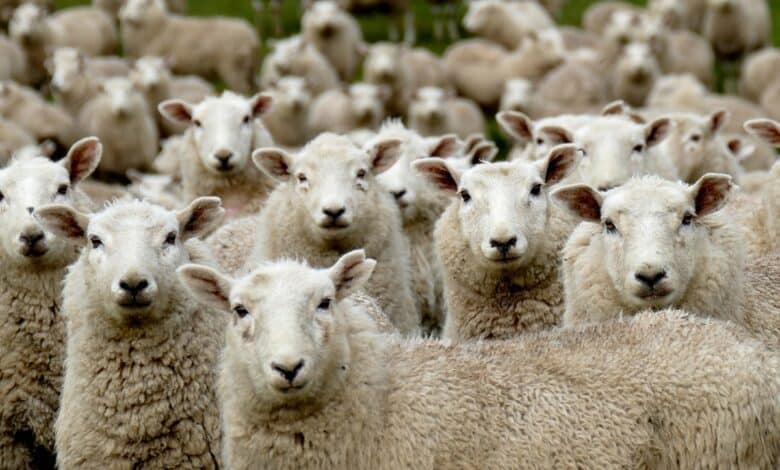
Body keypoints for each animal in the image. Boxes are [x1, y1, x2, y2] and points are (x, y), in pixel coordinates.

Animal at [119, 0, 258, 94]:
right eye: (127, 4)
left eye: (142, 5)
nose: (126, 17)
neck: (160, 27)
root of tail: (250, 34)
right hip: (248, 70)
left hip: (234, 68)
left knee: (243, 90)